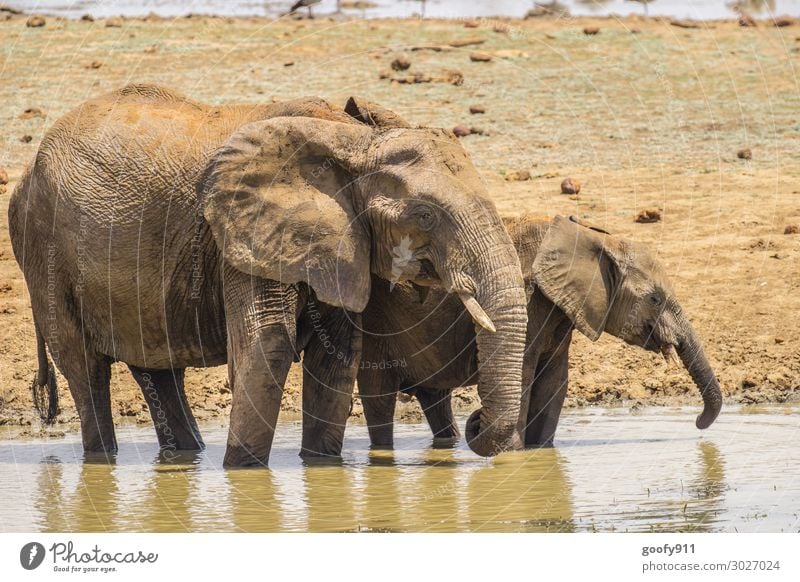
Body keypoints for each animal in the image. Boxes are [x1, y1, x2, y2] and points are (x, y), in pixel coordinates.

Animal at [362, 214, 724, 448]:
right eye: (655, 298)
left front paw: (541, 451)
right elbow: (523, 371)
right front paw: (514, 453)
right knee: (379, 397)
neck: (591, 237)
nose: (697, 423)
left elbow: (554, 378)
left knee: (435, 399)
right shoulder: (529, 297)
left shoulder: (561, 308)